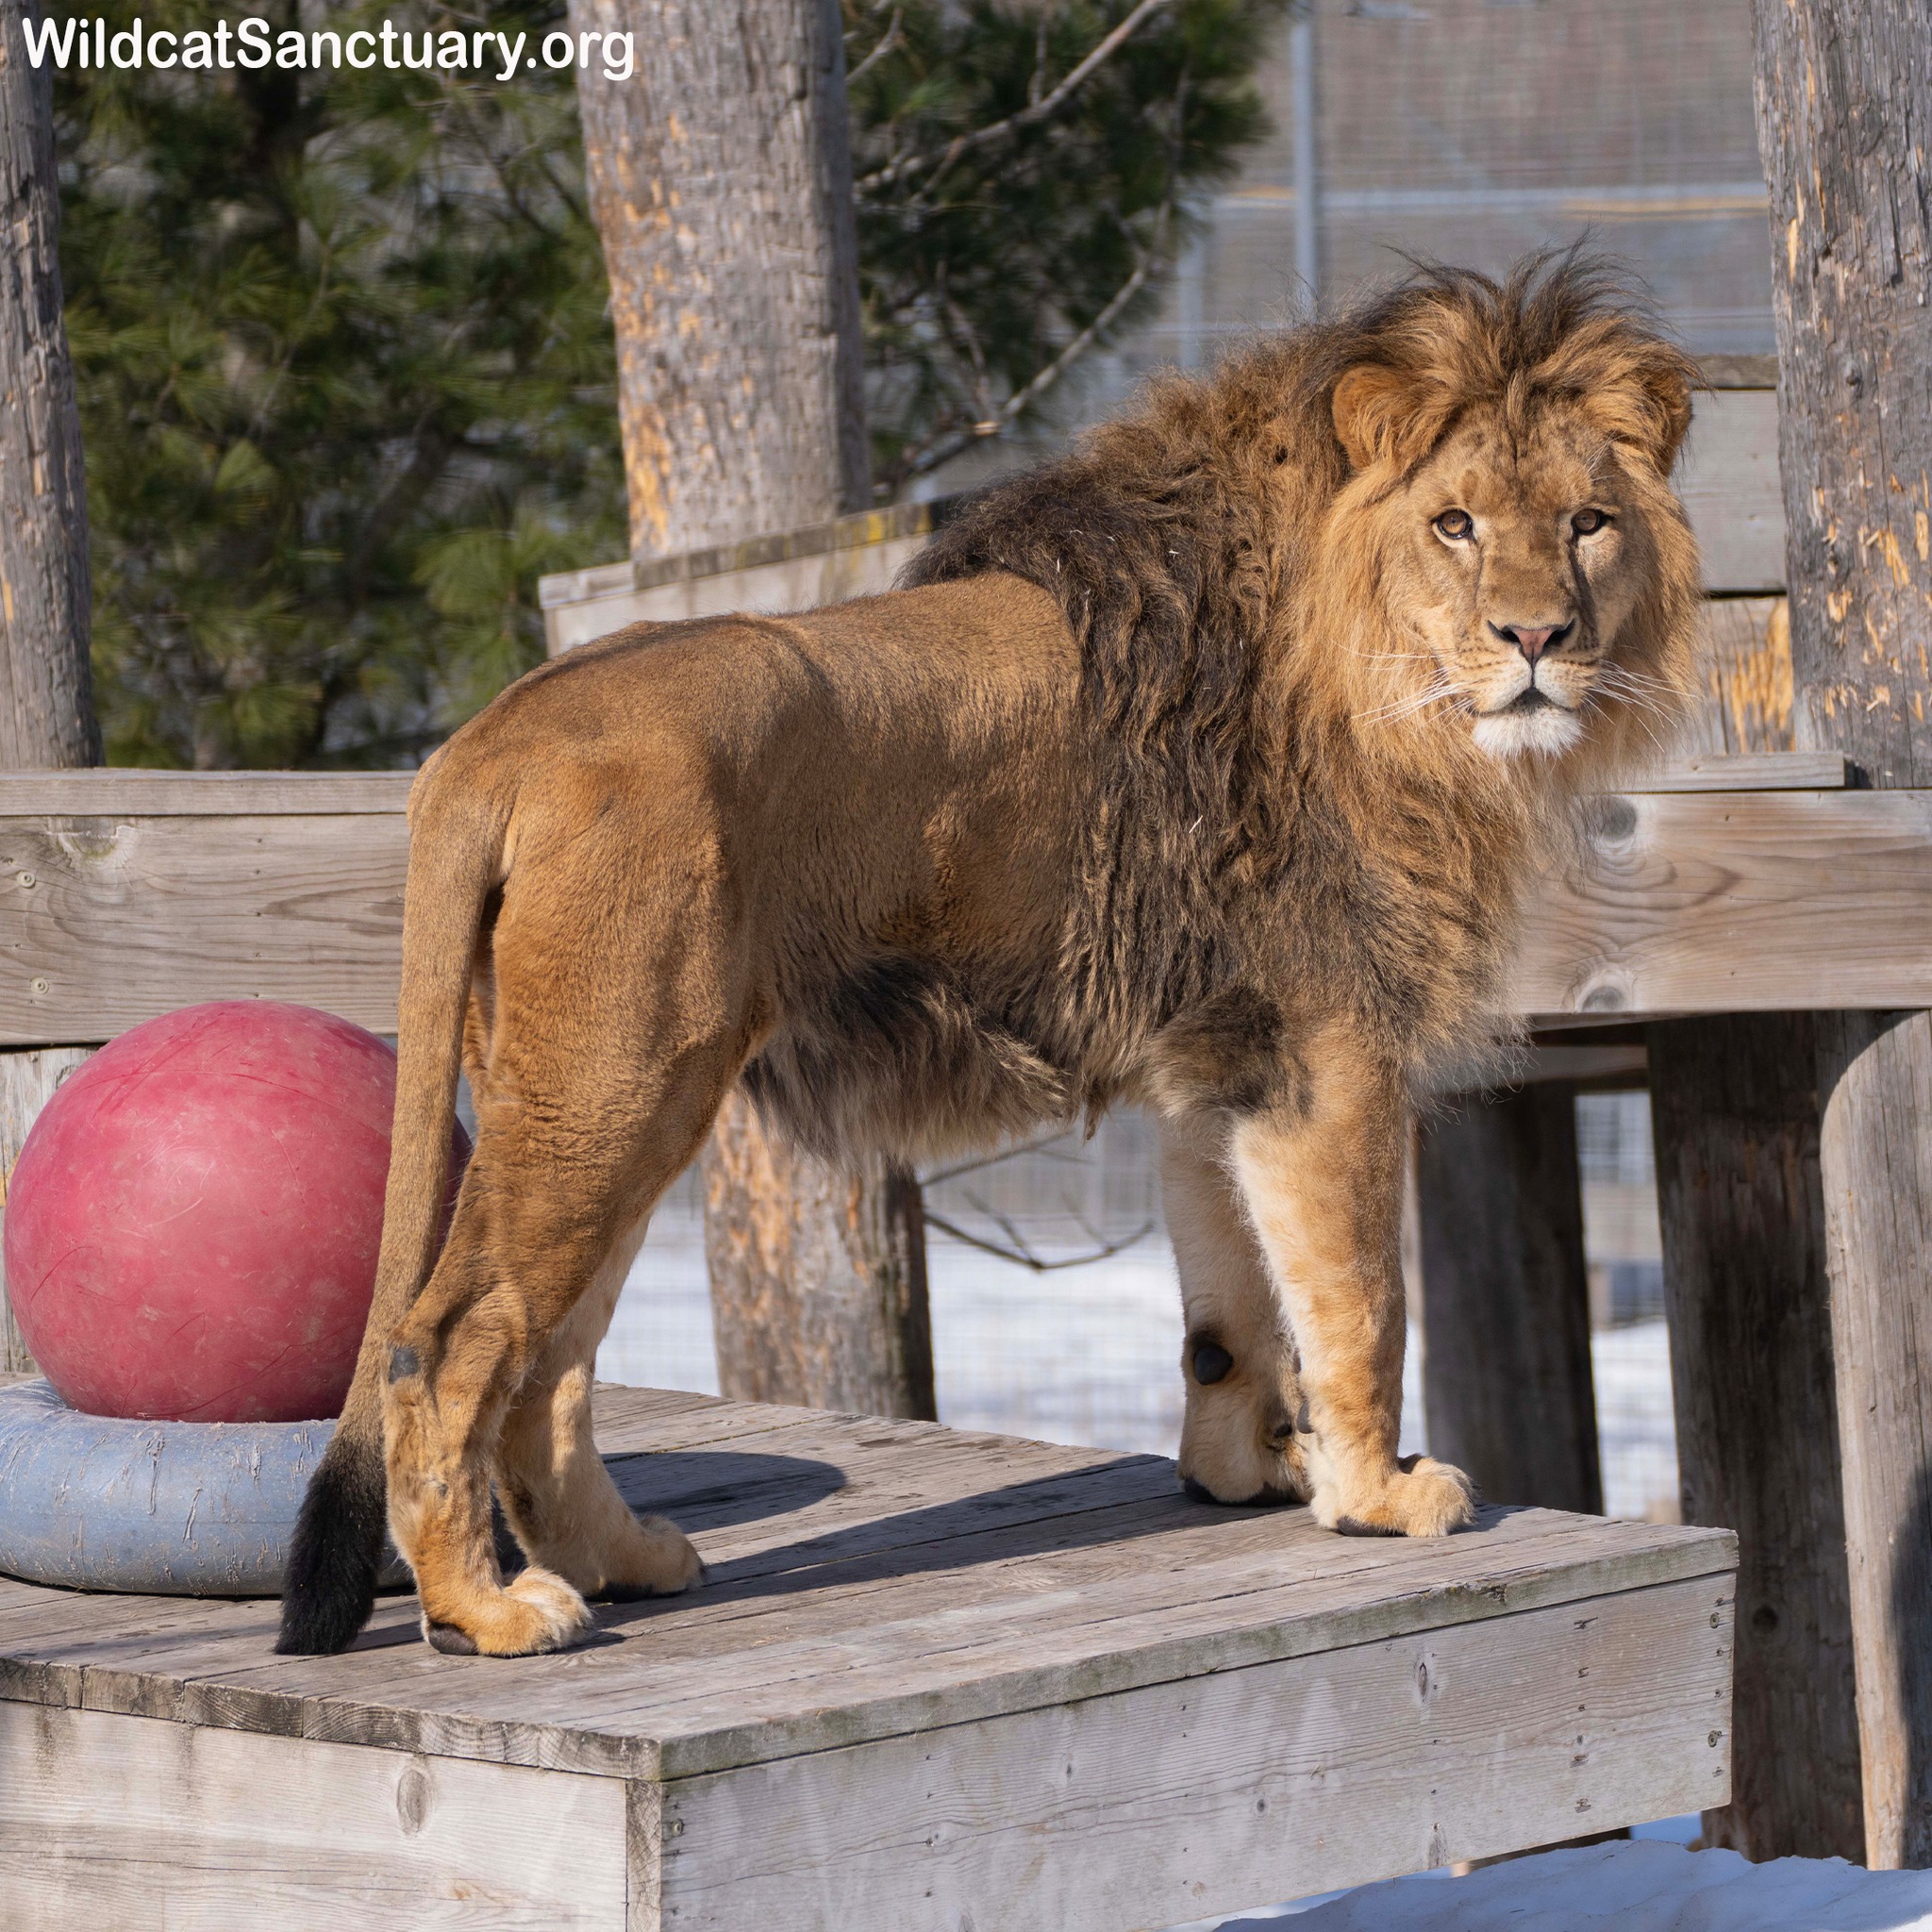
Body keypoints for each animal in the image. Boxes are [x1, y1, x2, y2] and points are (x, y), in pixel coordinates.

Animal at [277, 255, 1701, 1659]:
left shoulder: (1218, 1052)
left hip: (614, 1098)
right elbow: (1358, 1296)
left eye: (1587, 524)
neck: (1382, 681)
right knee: (446, 1341)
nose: (1538, 641)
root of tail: (490, 741)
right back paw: (484, 1611)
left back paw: (623, 1563)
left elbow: (1231, 1300)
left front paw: (1247, 1472)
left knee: (553, 1362)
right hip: (611, 1087)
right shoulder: (1325, 1039)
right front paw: (1380, 1495)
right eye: (1453, 525)